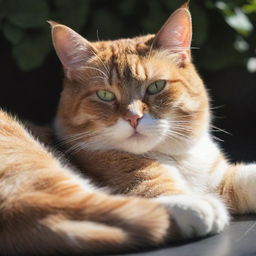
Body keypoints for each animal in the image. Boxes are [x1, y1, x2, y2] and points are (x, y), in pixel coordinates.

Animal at [50, 1, 256, 242]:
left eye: (156, 86)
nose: (133, 117)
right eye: (105, 95)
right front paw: (194, 203)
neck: (177, 158)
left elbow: (245, 178)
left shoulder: (220, 181)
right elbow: (151, 187)